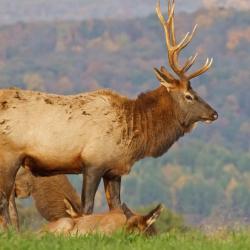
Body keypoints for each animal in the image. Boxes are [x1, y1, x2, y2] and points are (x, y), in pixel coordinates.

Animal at [0, 0, 217, 228]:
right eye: (189, 96)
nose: (214, 113)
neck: (133, 136)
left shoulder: (114, 170)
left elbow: (117, 207)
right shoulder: (93, 162)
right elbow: (87, 207)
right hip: (9, 155)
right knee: (4, 200)